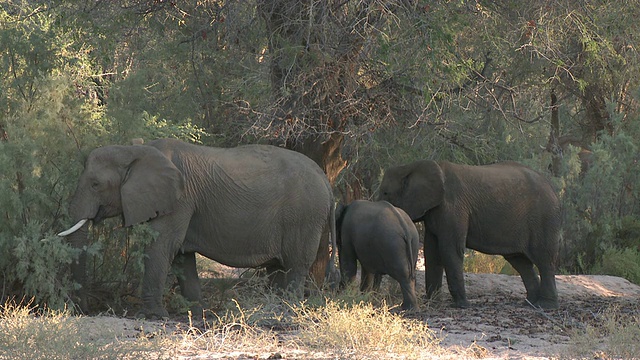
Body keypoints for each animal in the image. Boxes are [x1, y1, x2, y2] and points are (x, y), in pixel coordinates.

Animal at [58, 138, 338, 318]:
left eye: (95, 184)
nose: (83, 311)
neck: (136, 150)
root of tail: (324, 178)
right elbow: (181, 257)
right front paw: (194, 313)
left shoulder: (179, 200)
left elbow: (161, 247)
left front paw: (152, 316)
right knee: (278, 269)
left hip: (304, 215)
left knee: (295, 265)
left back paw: (287, 312)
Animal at [380, 160, 560, 310]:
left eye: (385, 193)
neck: (411, 166)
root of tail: (552, 186)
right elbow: (433, 252)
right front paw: (432, 302)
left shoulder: (453, 207)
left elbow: (450, 250)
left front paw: (462, 305)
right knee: (520, 261)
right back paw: (530, 303)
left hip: (544, 218)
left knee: (544, 260)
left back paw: (545, 306)